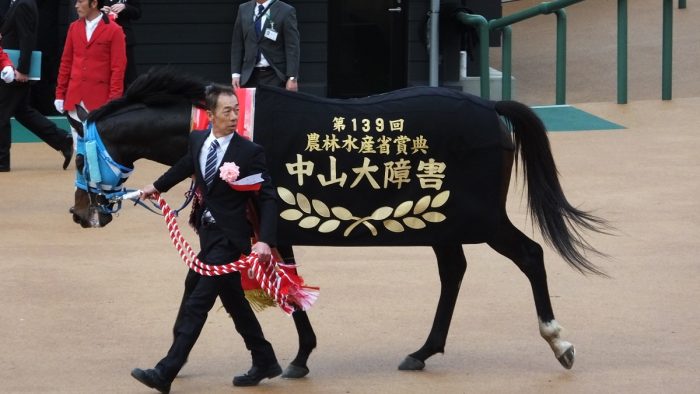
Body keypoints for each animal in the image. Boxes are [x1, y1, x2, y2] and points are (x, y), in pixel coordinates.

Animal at [68, 67, 608, 376]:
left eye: (76, 157)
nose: (80, 212)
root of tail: (491, 107)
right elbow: (222, 287)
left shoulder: (267, 226)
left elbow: (280, 292)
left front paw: (296, 359)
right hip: (443, 222)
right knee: (454, 272)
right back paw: (422, 351)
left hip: (482, 220)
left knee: (530, 255)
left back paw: (558, 340)